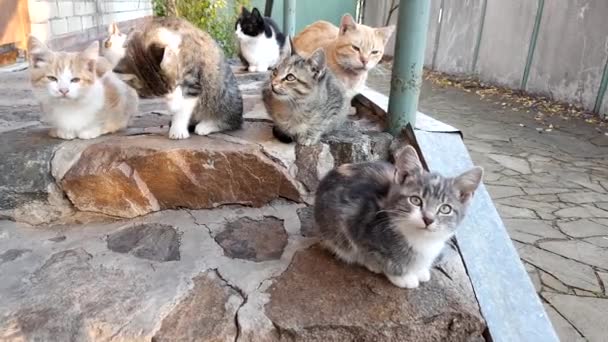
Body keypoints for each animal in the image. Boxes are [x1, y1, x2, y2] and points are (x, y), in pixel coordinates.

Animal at [113, 16, 241, 140]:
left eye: (175, 85)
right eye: (157, 95)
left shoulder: (193, 80)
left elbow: (184, 106)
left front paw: (178, 129)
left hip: (224, 95)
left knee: (230, 120)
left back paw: (206, 125)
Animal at [316, 145, 482, 288]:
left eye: (445, 209)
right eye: (415, 200)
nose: (428, 219)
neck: (420, 240)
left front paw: (420, 270)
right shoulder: (355, 225)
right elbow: (376, 255)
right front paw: (402, 276)